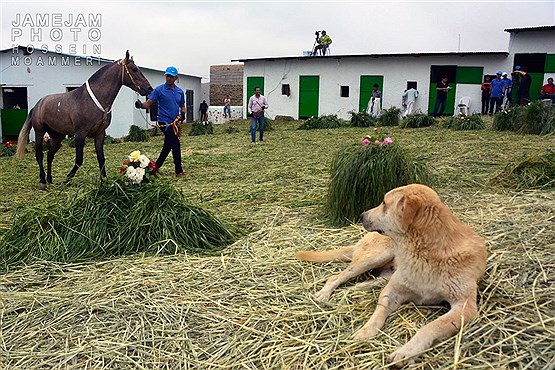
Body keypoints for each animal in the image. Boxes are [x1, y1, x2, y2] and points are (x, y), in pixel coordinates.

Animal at [16, 49, 153, 188]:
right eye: (134, 69)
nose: (149, 88)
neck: (91, 100)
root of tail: (37, 105)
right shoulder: (80, 134)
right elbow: (79, 160)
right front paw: (67, 179)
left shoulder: (100, 134)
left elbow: (101, 158)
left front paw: (104, 182)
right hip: (39, 131)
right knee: (39, 154)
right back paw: (43, 180)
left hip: (57, 136)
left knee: (50, 155)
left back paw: (49, 179)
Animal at [300, 185, 486, 368]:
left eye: (384, 203)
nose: (361, 215)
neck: (424, 252)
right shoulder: (392, 291)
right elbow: (378, 312)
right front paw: (365, 331)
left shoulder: (464, 307)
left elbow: (431, 327)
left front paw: (406, 352)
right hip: (376, 256)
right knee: (336, 277)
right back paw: (324, 294)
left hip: (386, 269)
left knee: (375, 279)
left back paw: (357, 287)